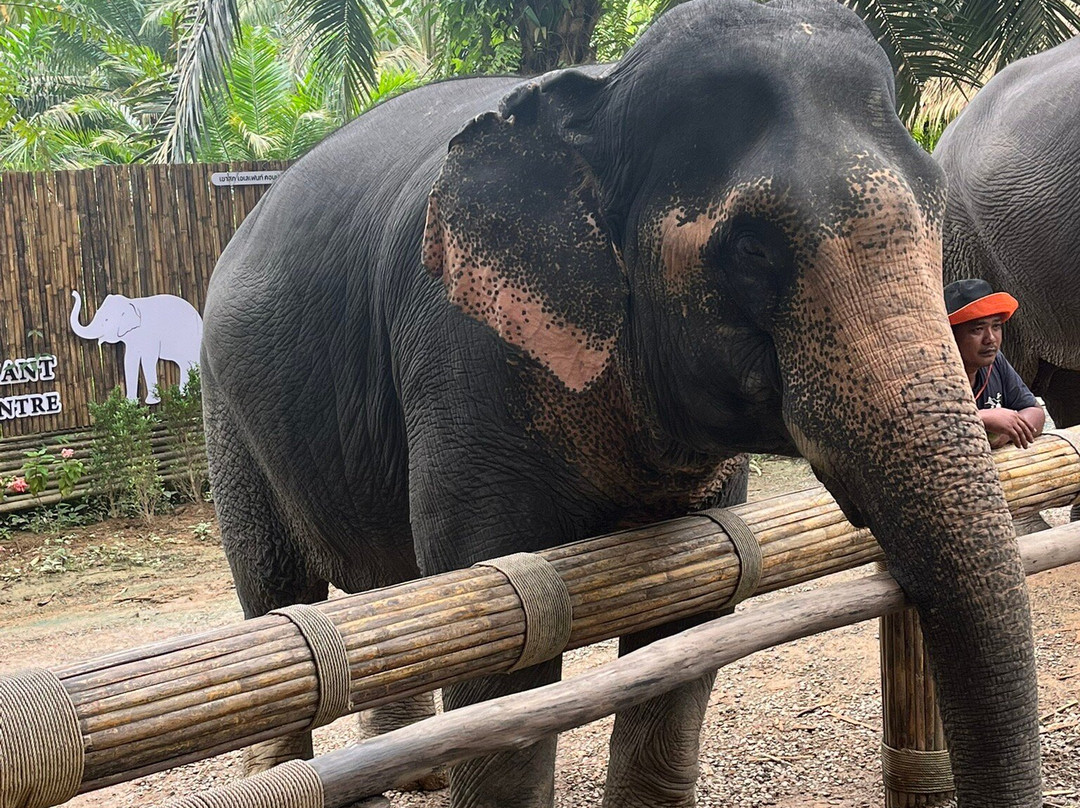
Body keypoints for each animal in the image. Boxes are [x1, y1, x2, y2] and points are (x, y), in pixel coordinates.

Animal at [70, 290, 203, 405]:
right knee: (184, 363)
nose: (73, 293)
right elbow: (129, 360)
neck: (130, 302)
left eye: (107, 319)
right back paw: (183, 394)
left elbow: (147, 360)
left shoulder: (149, 334)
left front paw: (151, 401)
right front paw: (130, 403)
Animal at [200, 0, 1042, 806]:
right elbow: (501, 660)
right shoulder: (464, 363)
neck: (603, 96)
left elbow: (690, 623)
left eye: (937, 214)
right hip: (225, 408)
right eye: (754, 250)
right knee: (276, 591)